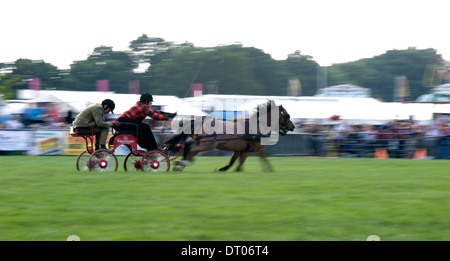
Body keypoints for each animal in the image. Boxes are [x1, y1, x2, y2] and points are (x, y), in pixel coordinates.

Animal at [165, 99, 296, 171]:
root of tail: (201, 120)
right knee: (192, 151)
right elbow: (265, 161)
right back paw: (181, 164)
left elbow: (235, 164)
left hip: (200, 143)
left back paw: (180, 166)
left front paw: (223, 169)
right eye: (286, 115)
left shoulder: (242, 150)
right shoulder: (257, 149)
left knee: (190, 151)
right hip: (208, 145)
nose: (292, 126)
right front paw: (270, 171)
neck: (257, 126)